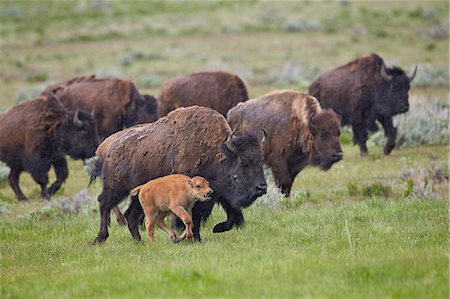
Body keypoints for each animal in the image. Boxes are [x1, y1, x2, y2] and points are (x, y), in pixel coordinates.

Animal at [91, 105, 268, 244]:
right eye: (242, 163)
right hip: (115, 188)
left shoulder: (218, 195)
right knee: (104, 203)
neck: (217, 154)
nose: (262, 188)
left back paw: (140, 242)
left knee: (131, 215)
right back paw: (100, 238)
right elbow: (193, 218)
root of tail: (110, 149)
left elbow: (231, 215)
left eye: (261, 160)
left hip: (139, 195)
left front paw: (216, 229)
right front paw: (195, 239)